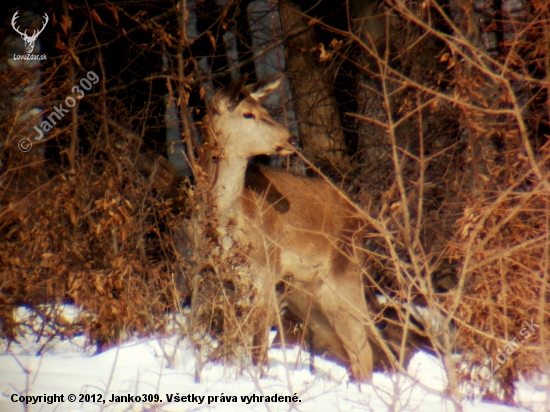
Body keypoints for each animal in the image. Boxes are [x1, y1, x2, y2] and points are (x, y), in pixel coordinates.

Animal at [203, 73, 376, 380]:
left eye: (265, 110)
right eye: (247, 113)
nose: (290, 138)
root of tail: (360, 216)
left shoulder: (266, 270)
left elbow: (259, 343)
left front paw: (260, 376)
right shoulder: (225, 279)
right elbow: (233, 337)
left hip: (344, 275)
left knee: (362, 347)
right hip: (304, 289)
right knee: (344, 347)